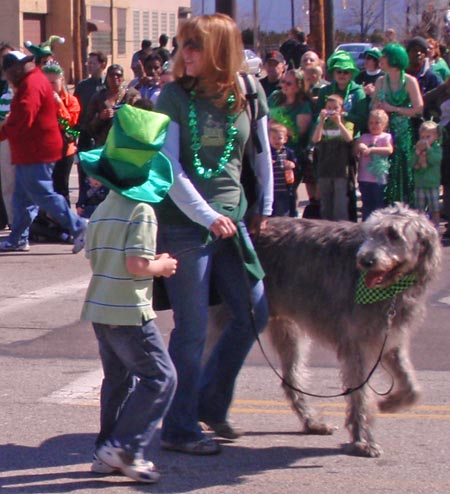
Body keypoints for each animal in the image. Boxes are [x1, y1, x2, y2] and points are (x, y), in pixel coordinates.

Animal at [251, 203, 442, 458]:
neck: (392, 289)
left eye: (393, 234)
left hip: (285, 327)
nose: (365, 260)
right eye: (371, 232)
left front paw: (388, 404)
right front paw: (363, 440)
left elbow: (412, 387)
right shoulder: (355, 344)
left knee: (291, 377)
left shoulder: (388, 338)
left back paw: (312, 422)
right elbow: (360, 394)